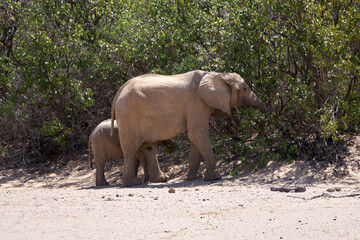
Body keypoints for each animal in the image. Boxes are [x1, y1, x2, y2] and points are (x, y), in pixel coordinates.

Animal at [112, 70, 268, 187]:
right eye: (244, 89)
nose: (265, 115)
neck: (217, 75)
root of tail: (118, 92)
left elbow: (194, 139)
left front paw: (192, 178)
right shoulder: (196, 103)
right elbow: (197, 134)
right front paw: (214, 178)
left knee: (149, 146)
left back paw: (160, 180)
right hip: (127, 115)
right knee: (130, 148)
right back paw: (132, 184)